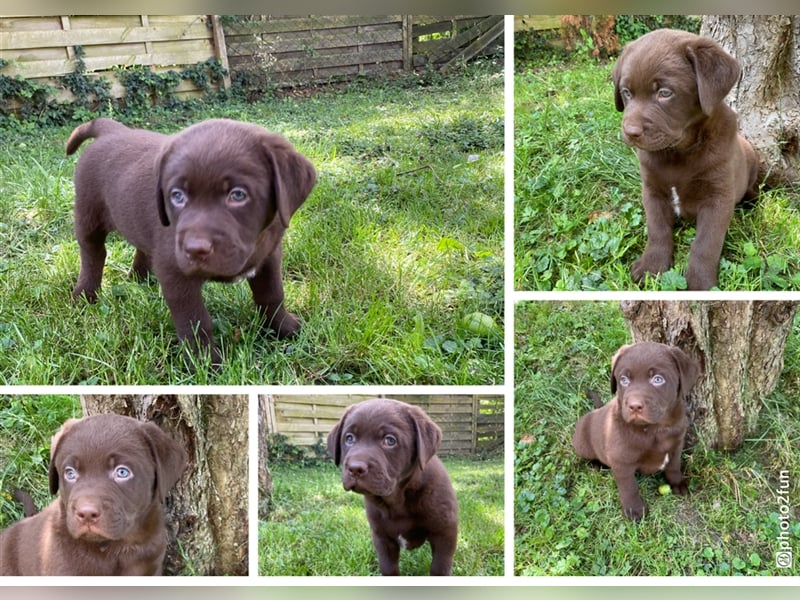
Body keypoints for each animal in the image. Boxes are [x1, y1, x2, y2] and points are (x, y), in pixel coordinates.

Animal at [66, 116, 316, 360]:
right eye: (177, 196)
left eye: (238, 195)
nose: (195, 250)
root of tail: (112, 130)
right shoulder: (176, 272)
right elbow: (195, 321)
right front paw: (204, 362)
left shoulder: (270, 254)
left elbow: (272, 294)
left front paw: (285, 327)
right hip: (88, 213)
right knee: (93, 254)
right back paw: (85, 296)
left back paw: (140, 277)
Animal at [326, 398, 460, 576]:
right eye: (349, 438)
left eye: (390, 440)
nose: (355, 468)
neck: (397, 499)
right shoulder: (382, 538)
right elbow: (388, 568)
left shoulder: (444, 534)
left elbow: (440, 568)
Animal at [576, 342, 700, 520]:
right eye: (624, 380)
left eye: (658, 379)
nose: (634, 406)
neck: (655, 429)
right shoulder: (621, 462)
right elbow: (629, 488)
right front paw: (634, 510)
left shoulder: (676, 444)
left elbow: (674, 466)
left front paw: (677, 483)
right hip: (581, 440)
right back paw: (596, 464)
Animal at [616, 29, 760, 290]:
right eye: (627, 92)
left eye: (665, 93)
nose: (630, 132)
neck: (677, 152)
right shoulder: (652, 190)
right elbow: (657, 230)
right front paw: (651, 266)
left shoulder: (718, 198)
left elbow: (706, 244)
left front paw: (701, 284)